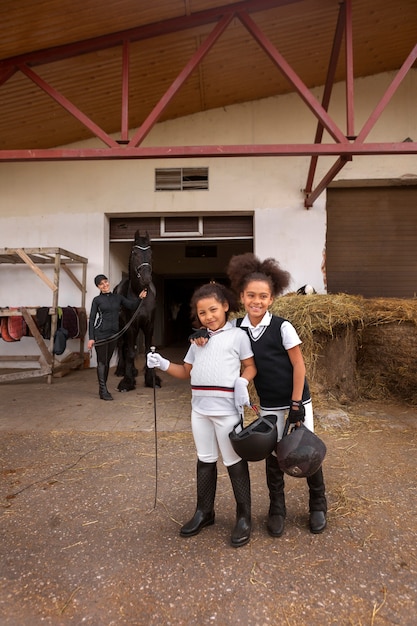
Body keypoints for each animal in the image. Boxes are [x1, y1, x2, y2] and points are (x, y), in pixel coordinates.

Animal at [114, 229, 161, 390]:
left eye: (151, 253)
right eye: (135, 253)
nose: (146, 279)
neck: (140, 296)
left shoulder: (149, 325)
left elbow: (147, 351)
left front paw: (151, 379)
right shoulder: (131, 327)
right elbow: (130, 352)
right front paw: (127, 381)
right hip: (121, 327)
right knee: (123, 346)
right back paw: (121, 370)